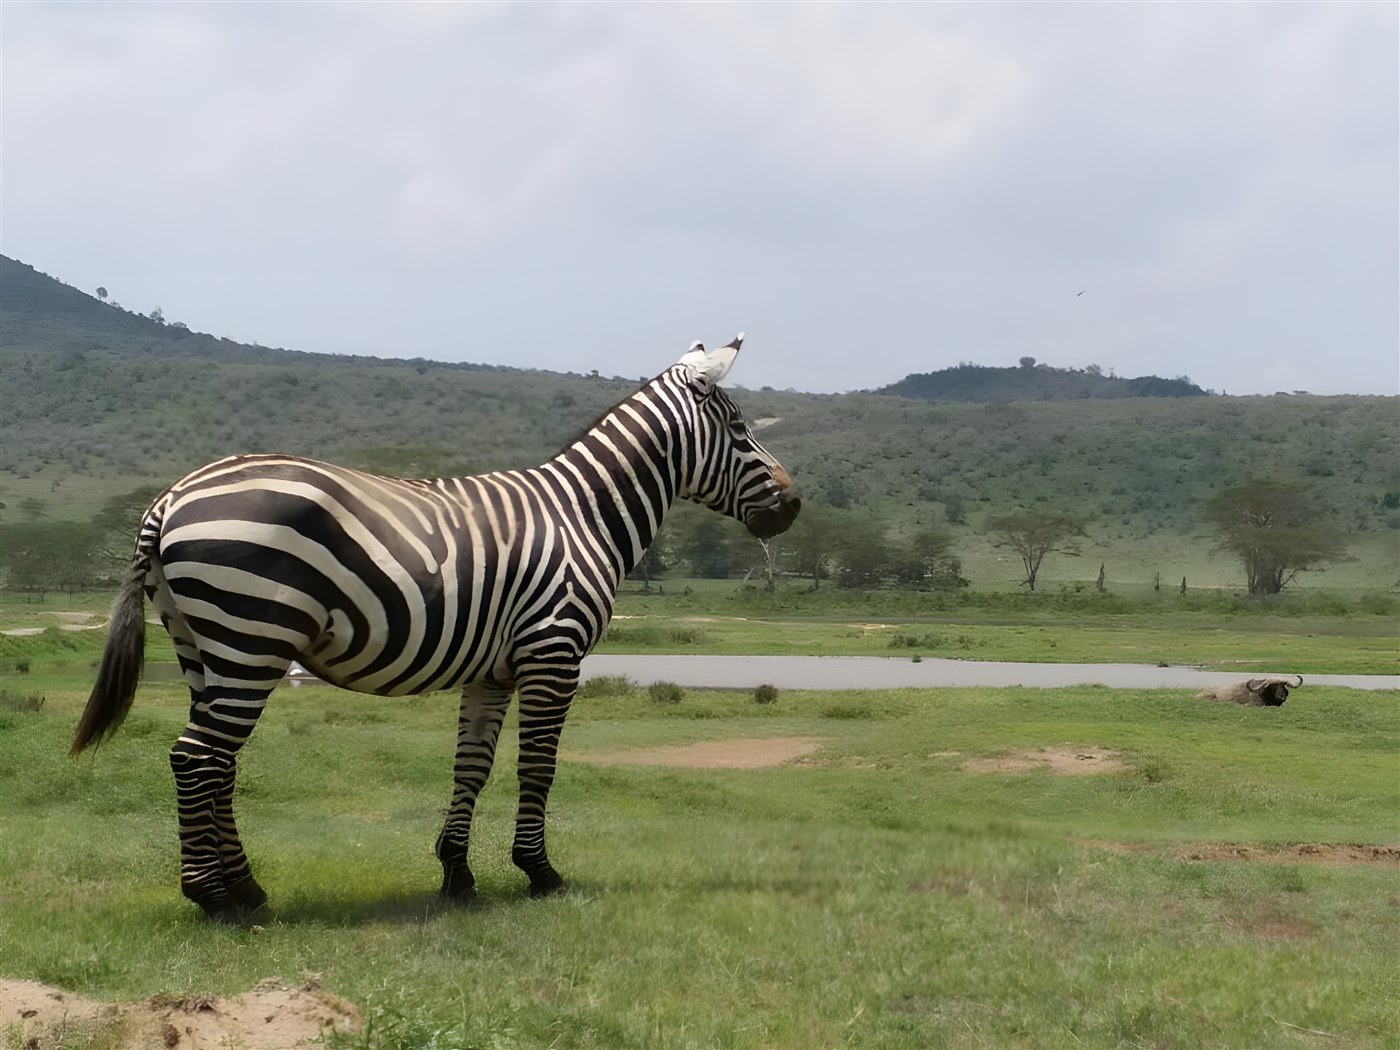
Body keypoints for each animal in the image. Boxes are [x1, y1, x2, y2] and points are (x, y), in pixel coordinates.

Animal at [70, 334, 799, 922]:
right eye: (739, 429)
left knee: (218, 761)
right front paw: (540, 872)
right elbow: (538, 767)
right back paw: (212, 898)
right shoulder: (553, 651)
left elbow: (471, 766)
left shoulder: (494, 668)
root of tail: (169, 497)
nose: (793, 508)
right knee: (196, 758)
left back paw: (248, 890)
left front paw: (456, 872)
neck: (583, 515)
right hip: (250, 637)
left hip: (203, 644)